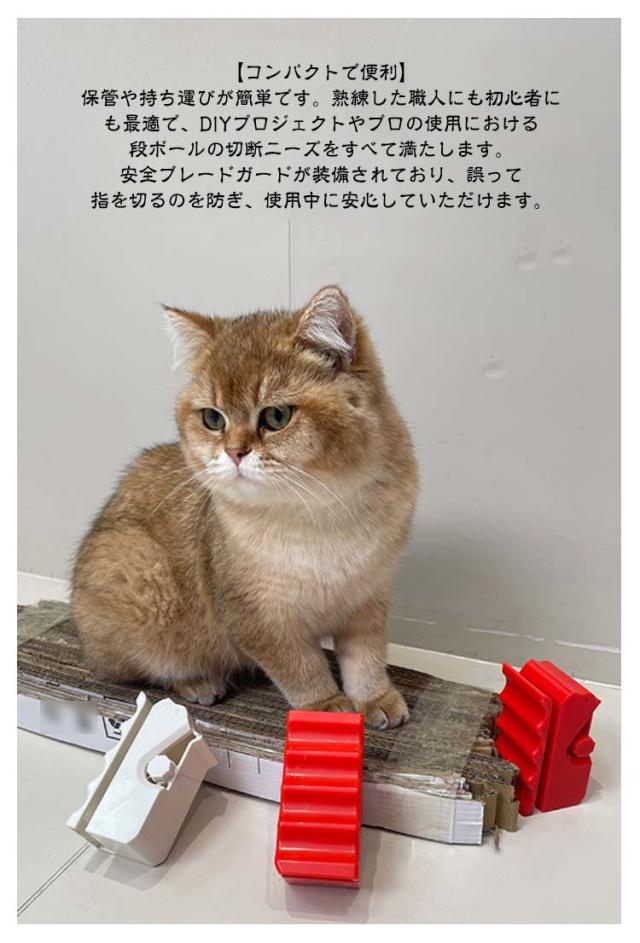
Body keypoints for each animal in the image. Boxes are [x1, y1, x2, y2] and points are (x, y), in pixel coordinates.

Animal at [71, 286, 418, 728]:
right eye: (213, 418)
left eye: (277, 415)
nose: (235, 452)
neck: (320, 509)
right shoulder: (258, 618)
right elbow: (300, 666)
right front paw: (323, 707)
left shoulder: (367, 597)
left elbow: (366, 656)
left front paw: (374, 697)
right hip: (136, 575)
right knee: (150, 670)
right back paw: (198, 681)